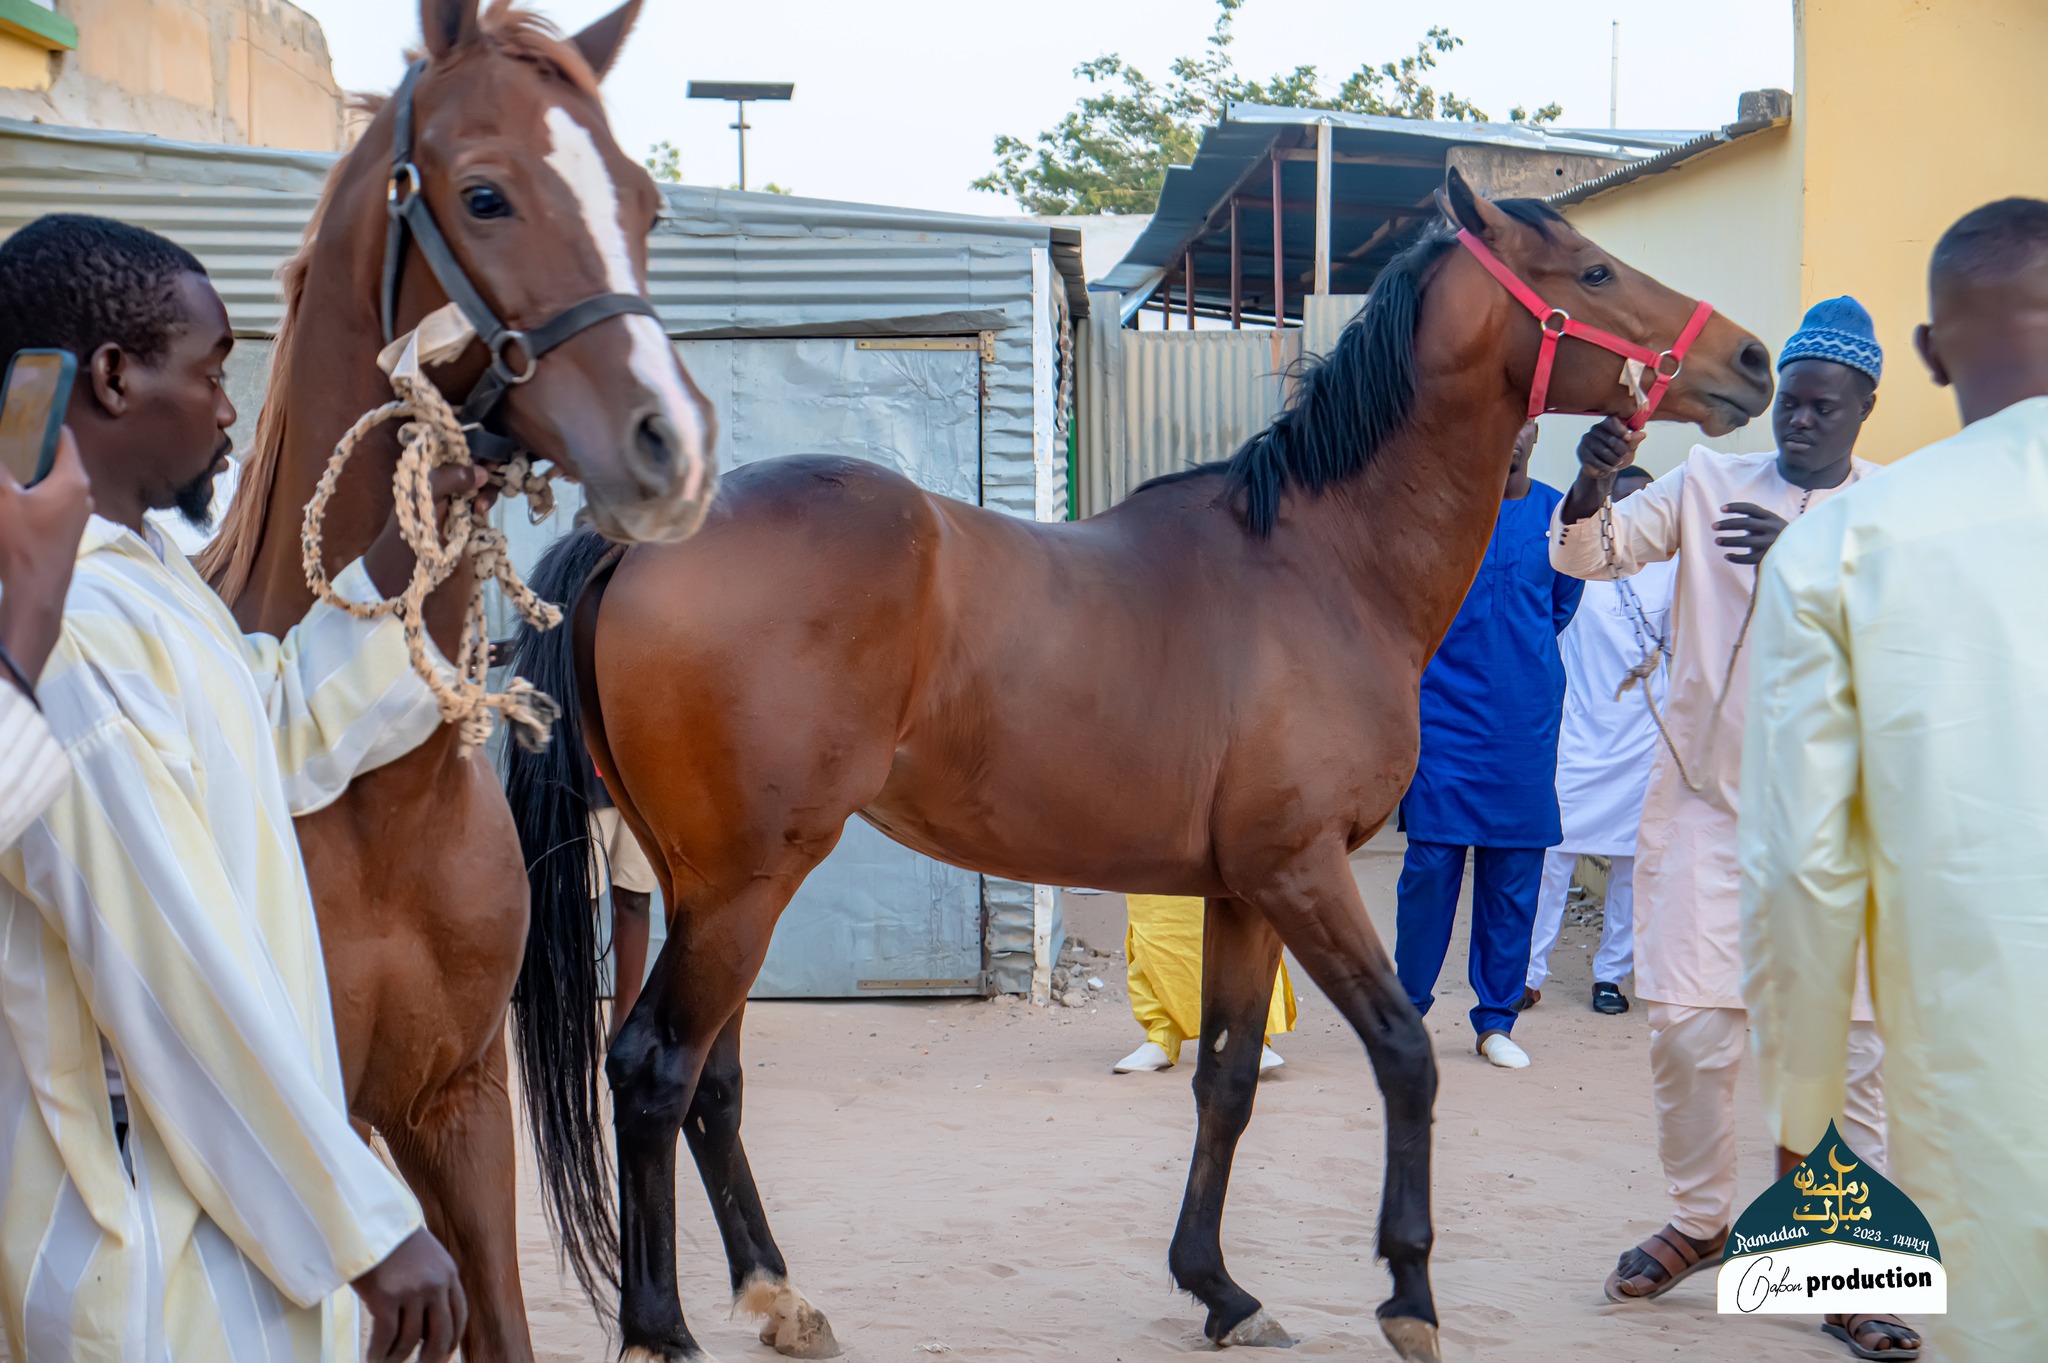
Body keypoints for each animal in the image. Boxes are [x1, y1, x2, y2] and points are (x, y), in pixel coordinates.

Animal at [192, 0, 716, 1350]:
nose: (673, 444)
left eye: (644, 203)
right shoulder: (335, 1151)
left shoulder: (456, 1108)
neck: (375, 800)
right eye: (484, 195)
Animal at [499, 164, 1777, 1350]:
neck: (1324, 564)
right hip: (747, 882)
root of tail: (636, 544)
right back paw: (659, 1326)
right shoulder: (1302, 871)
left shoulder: (1245, 891)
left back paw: (777, 1297)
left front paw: (1218, 1288)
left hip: (709, 882)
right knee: (653, 1067)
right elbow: (1405, 1055)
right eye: (1595, 271)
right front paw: (1408, 1294)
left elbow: (1225, 1081)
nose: (1754, 358)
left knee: (709, 1079)